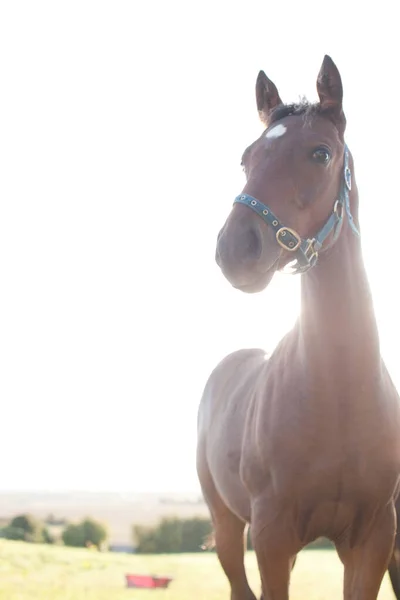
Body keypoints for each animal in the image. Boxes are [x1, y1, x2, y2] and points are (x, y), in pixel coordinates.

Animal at [196, 54, 400, 596]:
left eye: (320, 153)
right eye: (246, 158)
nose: (235, 250)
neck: (337, 391)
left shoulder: (373, 539)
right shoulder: (271, 536)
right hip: (229, 526)